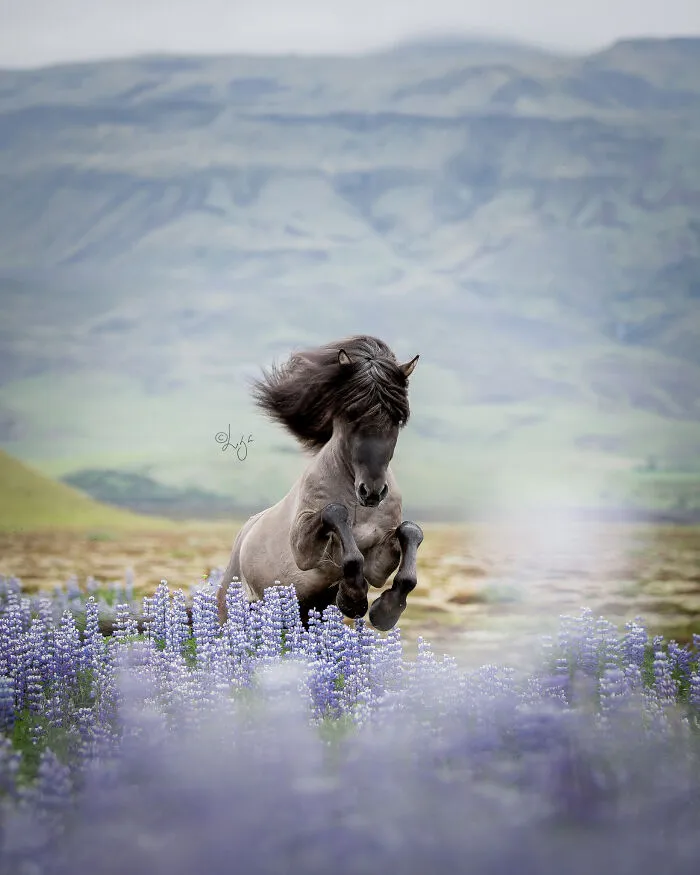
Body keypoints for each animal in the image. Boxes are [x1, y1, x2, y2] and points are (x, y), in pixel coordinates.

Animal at [216, 335, 424, 632]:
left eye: (398, 418)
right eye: (351, 414)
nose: (372, 491)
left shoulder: (378, 562)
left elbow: (409, 533)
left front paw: (385, 610)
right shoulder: (304, 551)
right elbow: (336, 515)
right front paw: (353, 598)